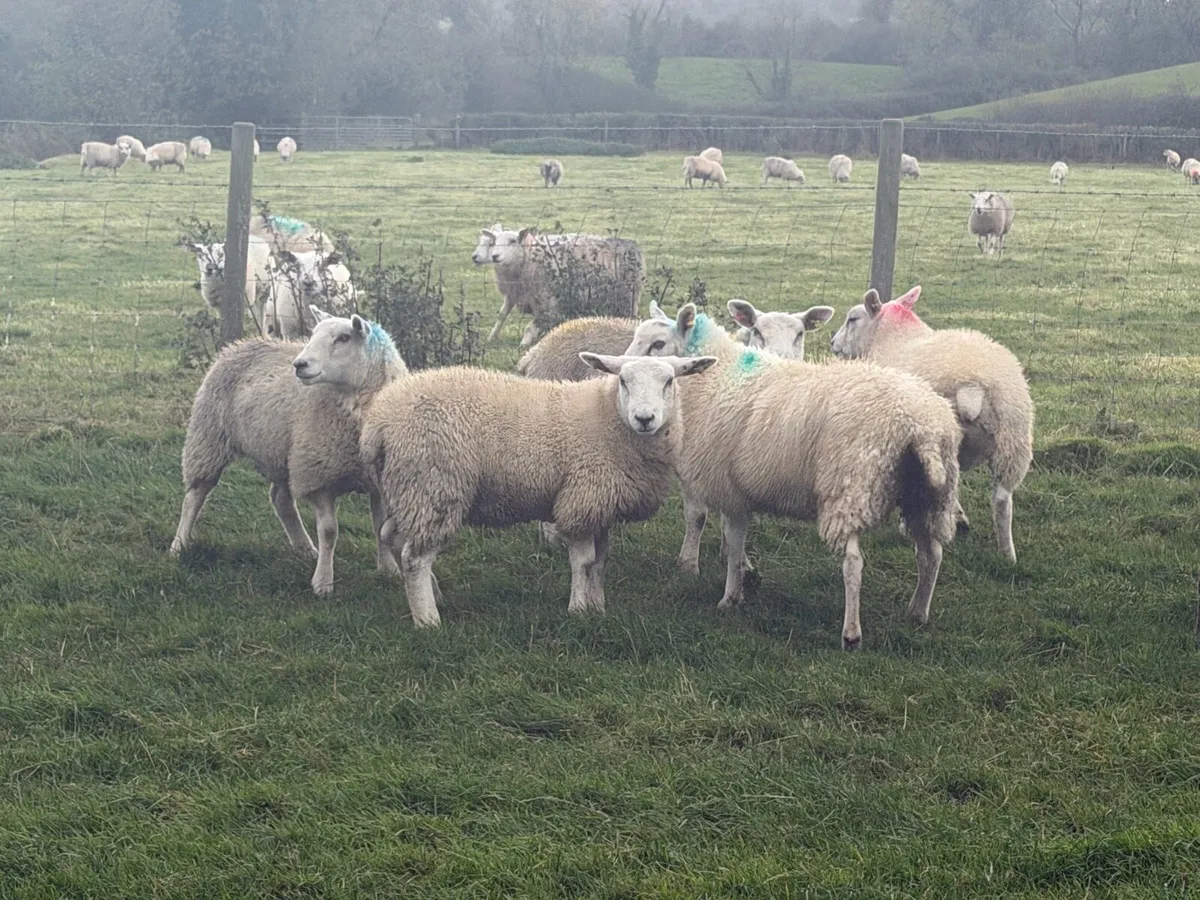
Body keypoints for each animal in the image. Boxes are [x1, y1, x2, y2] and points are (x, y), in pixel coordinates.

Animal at [171, 310, 409, 595]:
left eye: (343, 338)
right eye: (313, 334)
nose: (299, 364)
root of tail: (239, 344)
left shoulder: (378, 480)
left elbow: (379, 526)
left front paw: (389, 569)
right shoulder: (316, 473)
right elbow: (329, 531)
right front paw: (323, 582)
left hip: (283, 454)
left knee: (280, 499)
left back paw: (304, 548)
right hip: (209, 437)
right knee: (194, 496)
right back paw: (179, 545)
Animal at [361, 353, 716, 627]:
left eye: (669, 381)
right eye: (623, 381)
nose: (644, 418)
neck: (608, 416)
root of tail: (379, 422)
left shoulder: (602, 504)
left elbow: (601, 561)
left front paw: (599, 606)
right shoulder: (581, 498)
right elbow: (584, 562)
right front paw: (578, 610)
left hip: (405, 491)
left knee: (391, 536)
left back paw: (432, 595)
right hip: (433, 486)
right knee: (415, 558)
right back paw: (428, 620)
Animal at [472, 224, 645, 347]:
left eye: (513, 241)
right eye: (495, 242)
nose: (495, 256)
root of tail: (631, 244)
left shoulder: (548, 300)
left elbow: (531, 326)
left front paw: (525, 344)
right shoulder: (515, 294)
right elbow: (501, 316)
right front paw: (492, 336)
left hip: (628, 297)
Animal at [624, 303, 962, 649]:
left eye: (658, 344)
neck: (717, 378)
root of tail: (918, 424)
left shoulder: (728, 488)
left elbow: (729, 543)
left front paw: (729, 597)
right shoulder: (735, 489)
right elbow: (732, 543)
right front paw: (743, 580)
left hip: (850, 490)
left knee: (854, 563)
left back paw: (851, 634)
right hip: (929, 497)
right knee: (932, 554)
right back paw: (917, 613)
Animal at [830, 285, 1034, 562]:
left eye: (852, 319)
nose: (833, 344)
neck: (891, 337)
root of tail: (972, 386)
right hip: (1014, 442)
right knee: (1002, 500)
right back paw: (1007, 555)